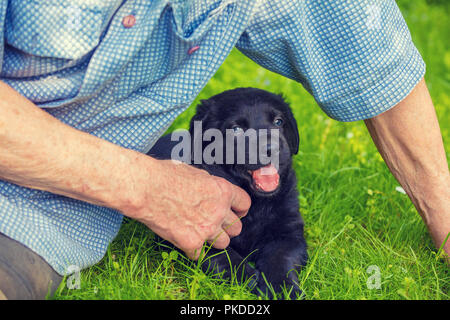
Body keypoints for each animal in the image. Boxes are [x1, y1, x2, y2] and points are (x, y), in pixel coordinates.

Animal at [147, 87, 306, 298]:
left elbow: (280, 258)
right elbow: (222, 256)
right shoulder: (192, 231)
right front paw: (249, 278)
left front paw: (283, 289)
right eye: (236, 129)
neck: (256, 203)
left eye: (278, 122)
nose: (271, 148)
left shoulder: (289, 232)